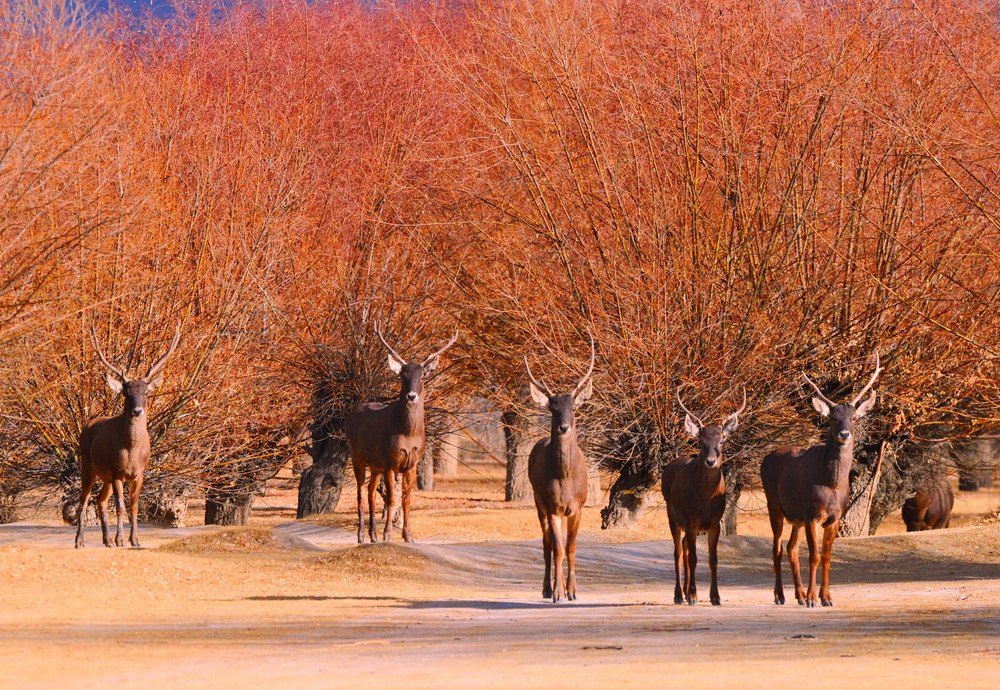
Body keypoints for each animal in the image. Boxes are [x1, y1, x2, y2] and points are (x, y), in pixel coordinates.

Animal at [77, 322, 183, 548]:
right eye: (126, 393)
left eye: (146, 392)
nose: (137, 410)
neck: (132, 450)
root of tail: (87, 424)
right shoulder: (117, 471)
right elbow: (121, 507)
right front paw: (121, 540)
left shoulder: (139, 473)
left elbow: (134, 506)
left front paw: (135, 540)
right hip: (87, 464)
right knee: (84, 501)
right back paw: (80, 541)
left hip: (105, 476)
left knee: (100, 500)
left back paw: (107, 540)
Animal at [342, 322, 456, 544]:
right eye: (403, 375)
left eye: (423, 375)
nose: (411, 395)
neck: (408, 435)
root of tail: (350, 415)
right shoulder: (390, 461)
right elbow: (392, 499)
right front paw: (388, 534)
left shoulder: (412, 464)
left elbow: (406, 500)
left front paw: (408, 536)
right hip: (356, 455)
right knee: (360, 493)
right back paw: (361, 536)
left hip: (375, 465)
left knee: (370, 493)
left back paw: (373, 536)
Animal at [524, 330, 592, 600]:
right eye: (553, 408)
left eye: (573, 407)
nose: (564, 427)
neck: (565, 479)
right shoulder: (552, 506)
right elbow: (558, 549)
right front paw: (557, 592)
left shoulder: (578, 506)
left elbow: (570, 547)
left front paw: (573, 591)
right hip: (538, 501)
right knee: (547, 544)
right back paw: (546, 588)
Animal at [660, 384, 748, 604]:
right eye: (700, 441)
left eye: (722, 440)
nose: (710, 461)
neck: (705, 501)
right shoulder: (691, 520)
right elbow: (693, 558)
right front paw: (692, 595)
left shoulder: (715, 522)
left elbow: (712, 559)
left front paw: (715, 596)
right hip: (672, 516)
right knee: (677, 552)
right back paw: (679, 595)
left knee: (684, 546)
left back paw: (684, 591)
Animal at [760, 352, 880, 604]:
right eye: (833, 418)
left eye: (854, 417)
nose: (844, 434)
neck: (831, 484)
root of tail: (766, 459)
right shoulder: (812, 514)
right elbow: (814, 556)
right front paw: (814, 598)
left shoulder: (835, 517)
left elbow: (826, 556)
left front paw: (826, 597)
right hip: (774, 505)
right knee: (777, 549)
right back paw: (780, 595)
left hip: (795, 516)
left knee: (791, 548)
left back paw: (799, 595)